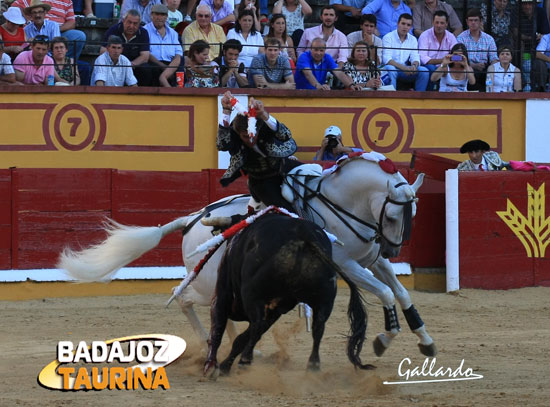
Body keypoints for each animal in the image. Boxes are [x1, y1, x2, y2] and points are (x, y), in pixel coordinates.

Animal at [60, 158, 438, 358]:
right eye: (394, 215)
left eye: (415, 213)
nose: (394, 249)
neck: (340, 205)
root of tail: (192, 219)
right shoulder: (347, 264)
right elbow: (386, 292)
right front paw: (383, 339)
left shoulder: (373, 261)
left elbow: (401, 292)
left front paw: (425, 339)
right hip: (205, 280)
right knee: (184, 299)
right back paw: (207, 342)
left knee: (217, 309)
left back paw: (232, 344)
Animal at [205, 215, 378, 378]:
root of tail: (305, 235)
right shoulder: (277, 308)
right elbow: (241, 338)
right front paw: (224, 366)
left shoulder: (223, 292)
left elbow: (219, 325)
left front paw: (212, 366)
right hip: (323, 301)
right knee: (318, 328)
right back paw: (313, 366)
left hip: (253, 295)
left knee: (256, 325)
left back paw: (244, 361)